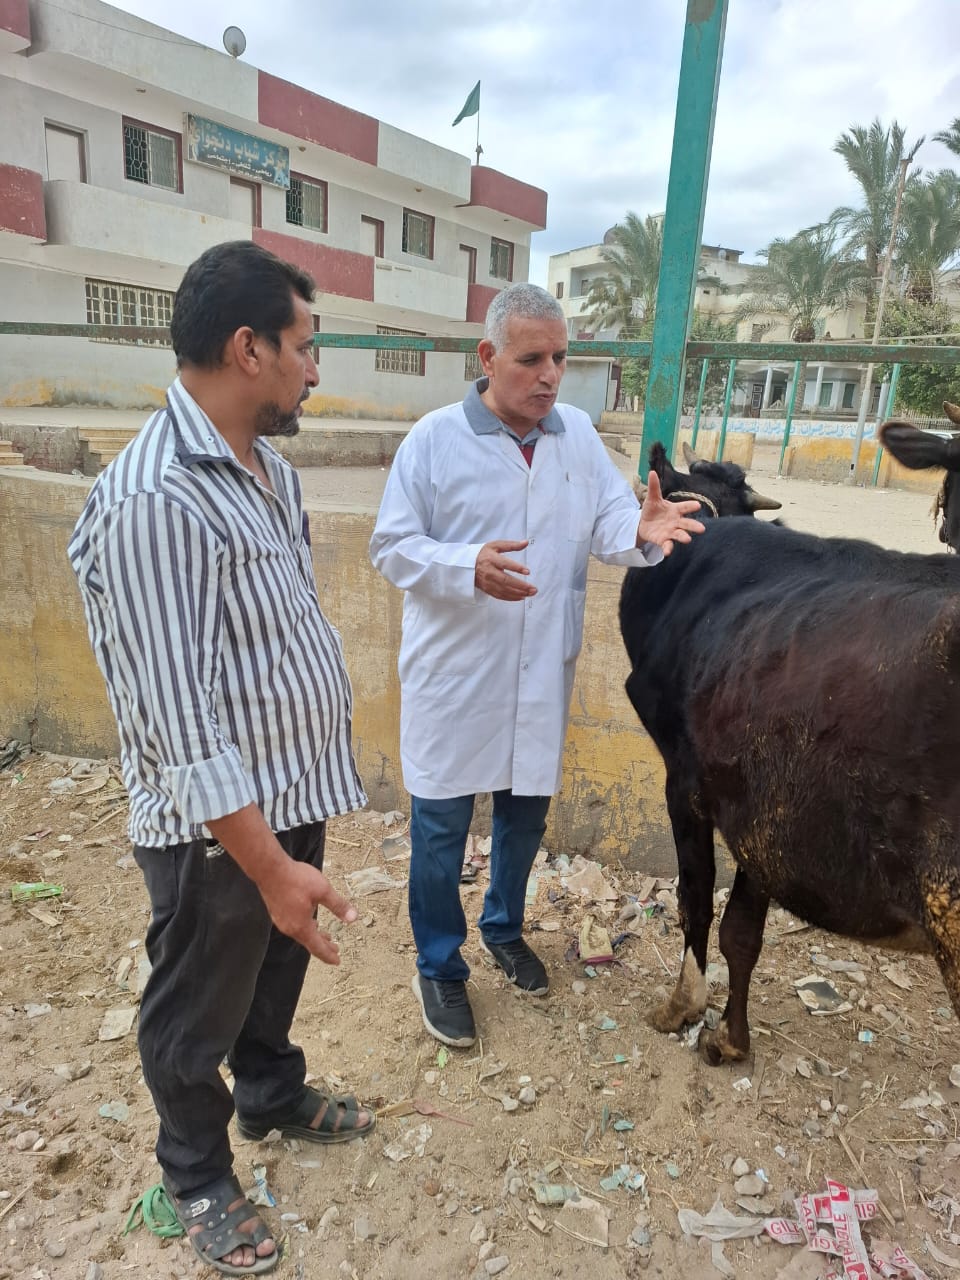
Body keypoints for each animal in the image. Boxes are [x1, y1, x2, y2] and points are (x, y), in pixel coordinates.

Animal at [620, 443, 960, 1065]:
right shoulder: (763, 810)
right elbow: (742, 932)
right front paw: (731, 1039)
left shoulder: (686, 781)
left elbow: (695, 900)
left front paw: (682, 1006)